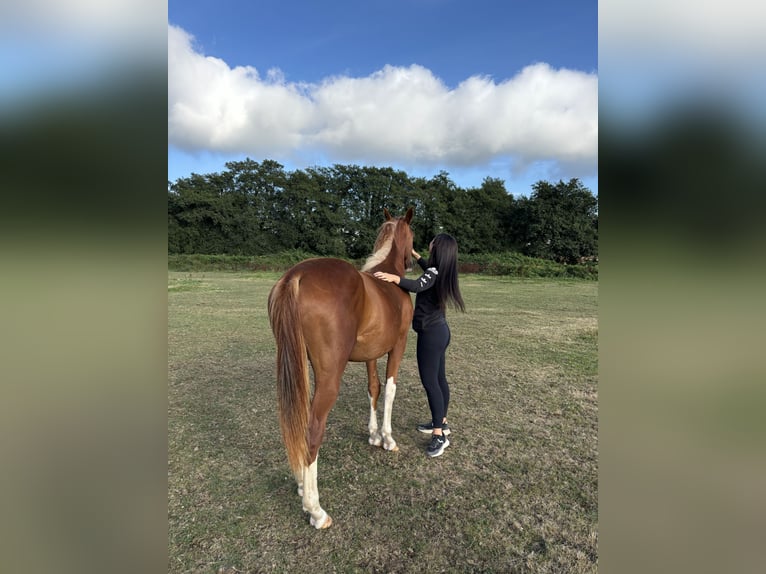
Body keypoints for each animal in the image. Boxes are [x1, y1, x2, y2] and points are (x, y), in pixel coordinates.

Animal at [267, 207, 415, 529]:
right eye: (413, 235)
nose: (413, 260)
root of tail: (296, 275)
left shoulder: (371, 354)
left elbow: (373, 389)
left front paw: (373, 435)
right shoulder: (397, 346)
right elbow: (391, 389)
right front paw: (387, 438)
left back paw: (302, 484)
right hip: (329, 378)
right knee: (312, 430)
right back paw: (315, 510)